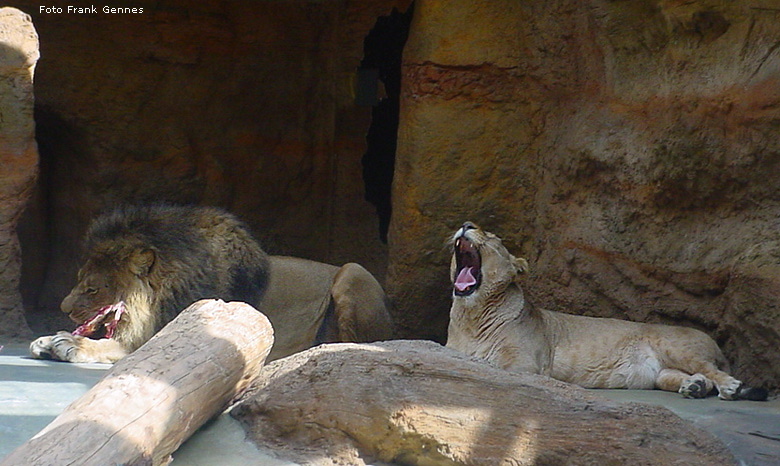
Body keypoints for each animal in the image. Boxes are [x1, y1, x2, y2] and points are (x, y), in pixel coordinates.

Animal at [30, 205, 394, 364]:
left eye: (93, 289)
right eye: (79, 280)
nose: (63, 308)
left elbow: (114, 347)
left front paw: (71, 344)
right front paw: (47, 339)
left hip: (353, 272)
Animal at [444, 222, 768, 400]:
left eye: (492, 236)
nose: (466, 224)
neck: (473, 316)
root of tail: (717, 345)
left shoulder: (526, 364)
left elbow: (494, 368)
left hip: (677, 347)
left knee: (713, 370)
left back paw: (730, 387)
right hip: (661, 373)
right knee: (686, 376)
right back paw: (695, 386)